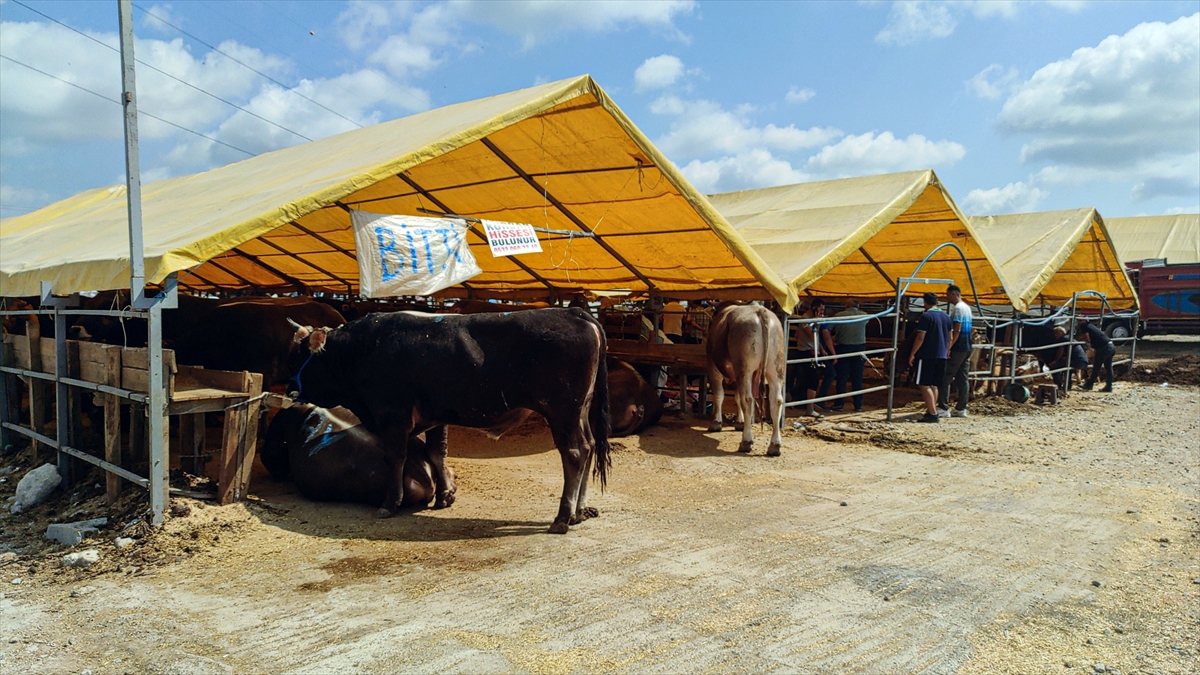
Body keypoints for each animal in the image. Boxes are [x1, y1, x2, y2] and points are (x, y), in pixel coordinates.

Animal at [288, 307, 609, 533]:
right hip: (580, 411)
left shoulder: (393, 416)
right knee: (589, 447)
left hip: (562, 411)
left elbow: (395, 458)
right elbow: (436, 453)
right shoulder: (436, 415)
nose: (290, 387)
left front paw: (390, 504)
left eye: (299, 358)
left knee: (574, 454)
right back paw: (579, 512)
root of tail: (573, 312)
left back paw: (563, 517)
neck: (362, 350)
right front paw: (444, 496)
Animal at [700, 302, 787, 454]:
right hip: (776, 369)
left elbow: (719, 395)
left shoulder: (713, 367)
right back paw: (774, 445)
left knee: (748, 399)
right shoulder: (736, 376)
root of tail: (760, 311)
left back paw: (746, 441)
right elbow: (736, 397)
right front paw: (740, 422)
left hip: (744, 369)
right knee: (776, 401)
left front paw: (716, 423)